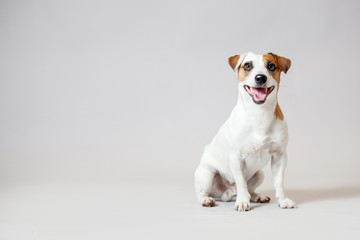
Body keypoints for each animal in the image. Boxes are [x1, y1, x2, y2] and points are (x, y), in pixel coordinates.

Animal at [195, 51, 296, 211]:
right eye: (247, 66)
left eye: (271, 66)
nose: (260, 77)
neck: (259, 113)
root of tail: (227, 194)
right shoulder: (236, 157)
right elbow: (241, 183)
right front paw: (242, 202)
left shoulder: (280, 156)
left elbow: (279, 182)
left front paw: (283, 200)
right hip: (207, 174)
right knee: (202, 193)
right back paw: (207, 200)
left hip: (259, 174)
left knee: (250, 190)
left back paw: (257, 196)